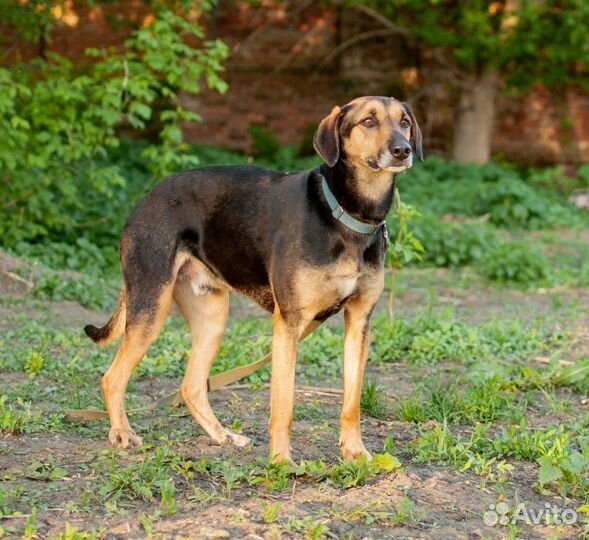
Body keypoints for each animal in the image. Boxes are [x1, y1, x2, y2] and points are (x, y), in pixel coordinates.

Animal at [85, 95, 420, 462]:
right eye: (368, 121)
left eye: (404, 122)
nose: (403, 150)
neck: (347, 215)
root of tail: (144, 201)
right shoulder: (288, 323)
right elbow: (284, 406)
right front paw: (281, 462)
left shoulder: (358, 322)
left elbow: (352, 403)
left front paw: (356, 453)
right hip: (150, 307)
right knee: (112, 378)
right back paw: (121, 433)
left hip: (212, 320)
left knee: (191, 386)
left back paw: (222, 436)